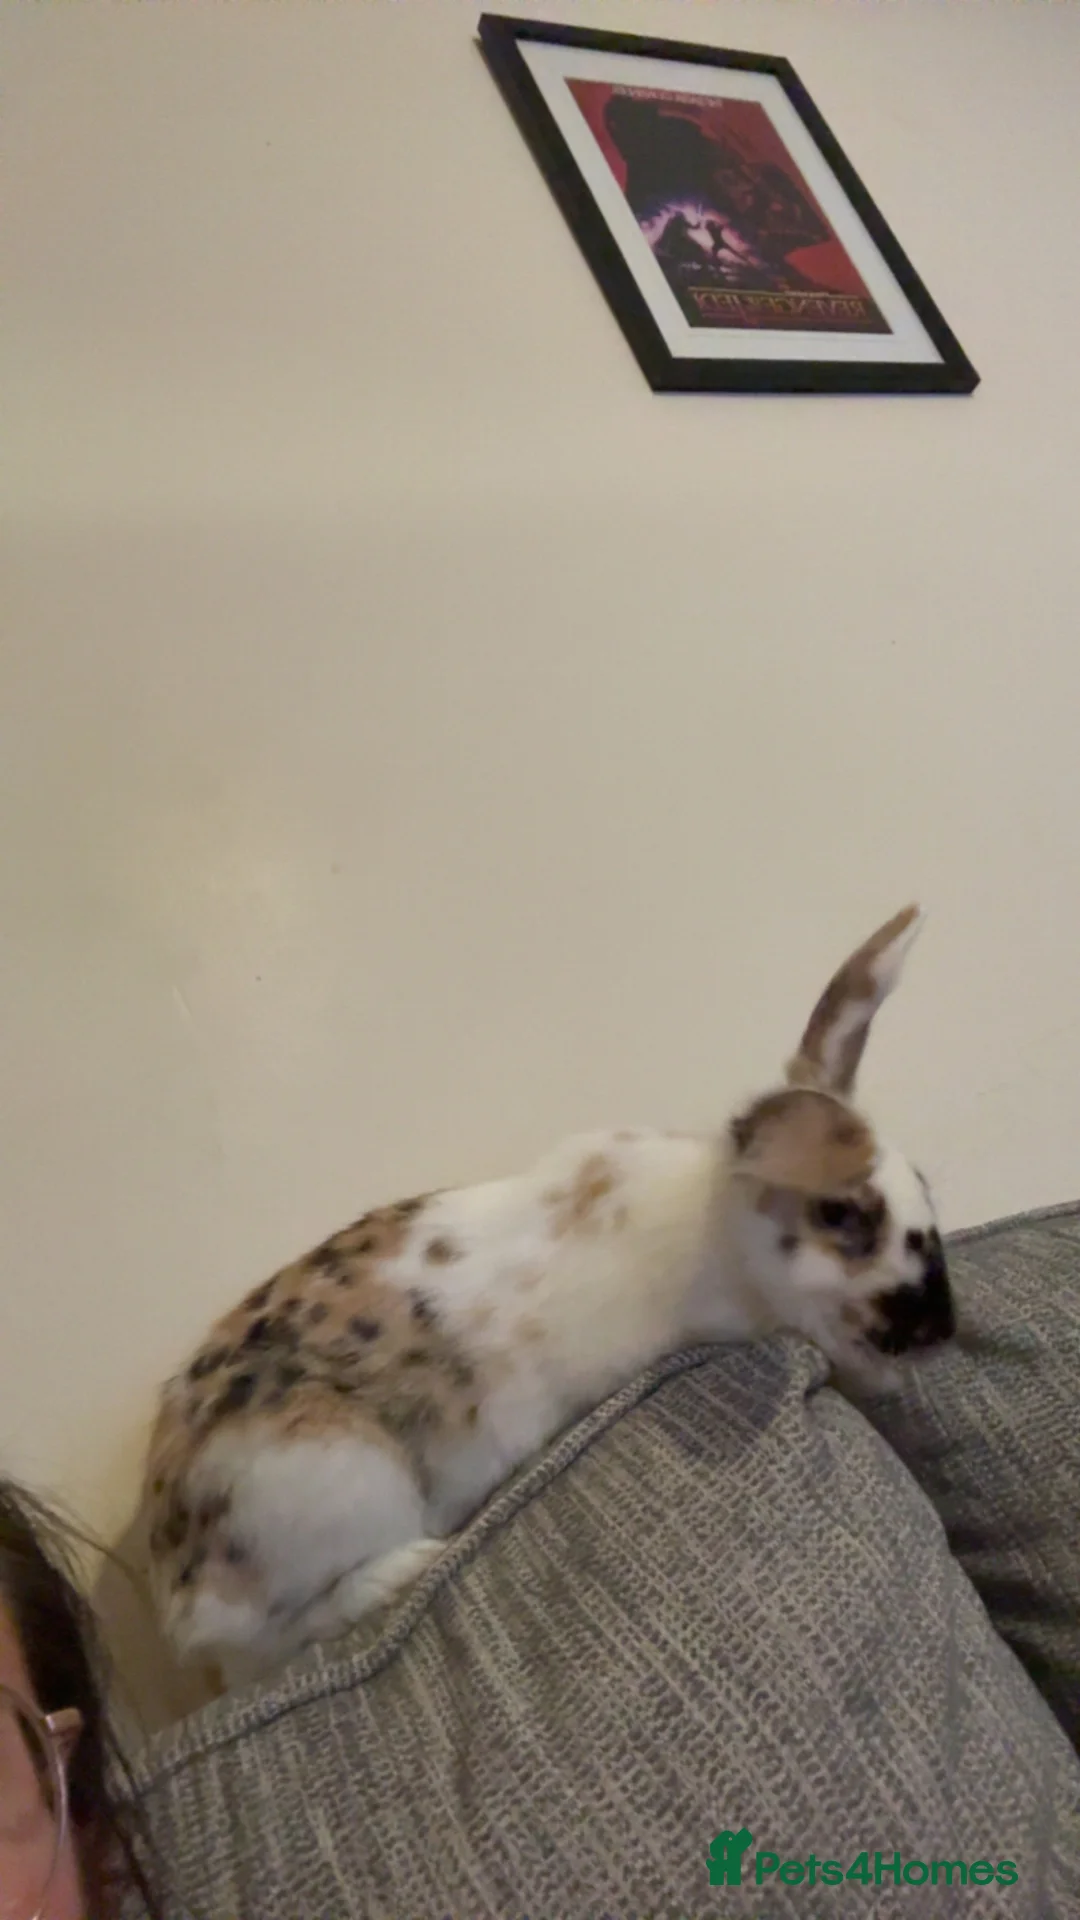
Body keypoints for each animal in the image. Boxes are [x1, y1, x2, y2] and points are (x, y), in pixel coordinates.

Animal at [145, 903, 953, 1685]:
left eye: (923, 1183)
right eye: (842, 1216)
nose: (942, 1328)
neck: (713, 1227)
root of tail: (177, 1587)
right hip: (336, 1480)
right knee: (270, 1641)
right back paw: (406, 1568)